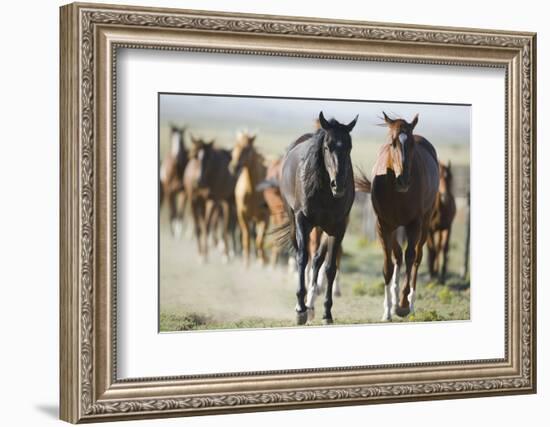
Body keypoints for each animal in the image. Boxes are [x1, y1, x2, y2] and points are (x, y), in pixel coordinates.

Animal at [230, 130, 270, 268]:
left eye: (247, 148)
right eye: (235, 146)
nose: (234, 167)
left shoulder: (265, 218)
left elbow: (260, 240)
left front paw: (264, 261)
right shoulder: (242, 215)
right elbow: (246, 239)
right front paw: (246, 263)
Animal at [280, 112, 358, 326]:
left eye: (349, 147)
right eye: (327, 146)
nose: (338, 184)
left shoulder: (338, 228)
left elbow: (330, 268)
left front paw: (327, 313)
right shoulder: (302, 221)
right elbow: (302, 258)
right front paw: (300, 309)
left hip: (322, 228)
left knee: (317, 260)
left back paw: (312, 307)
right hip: (294, 221)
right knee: (304, 256)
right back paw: (304, 306)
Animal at [356, 113, 442, 320]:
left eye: (411, 144)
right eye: (392, 142)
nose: (403, 179)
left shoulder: (414, 224)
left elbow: (410, 256)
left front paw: (402, 304)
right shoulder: (383, 225)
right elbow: (388, 265)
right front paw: (388, 309)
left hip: (425, 224)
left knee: (417, 257)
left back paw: (410, 303)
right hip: (393, 227)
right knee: (397, 255)